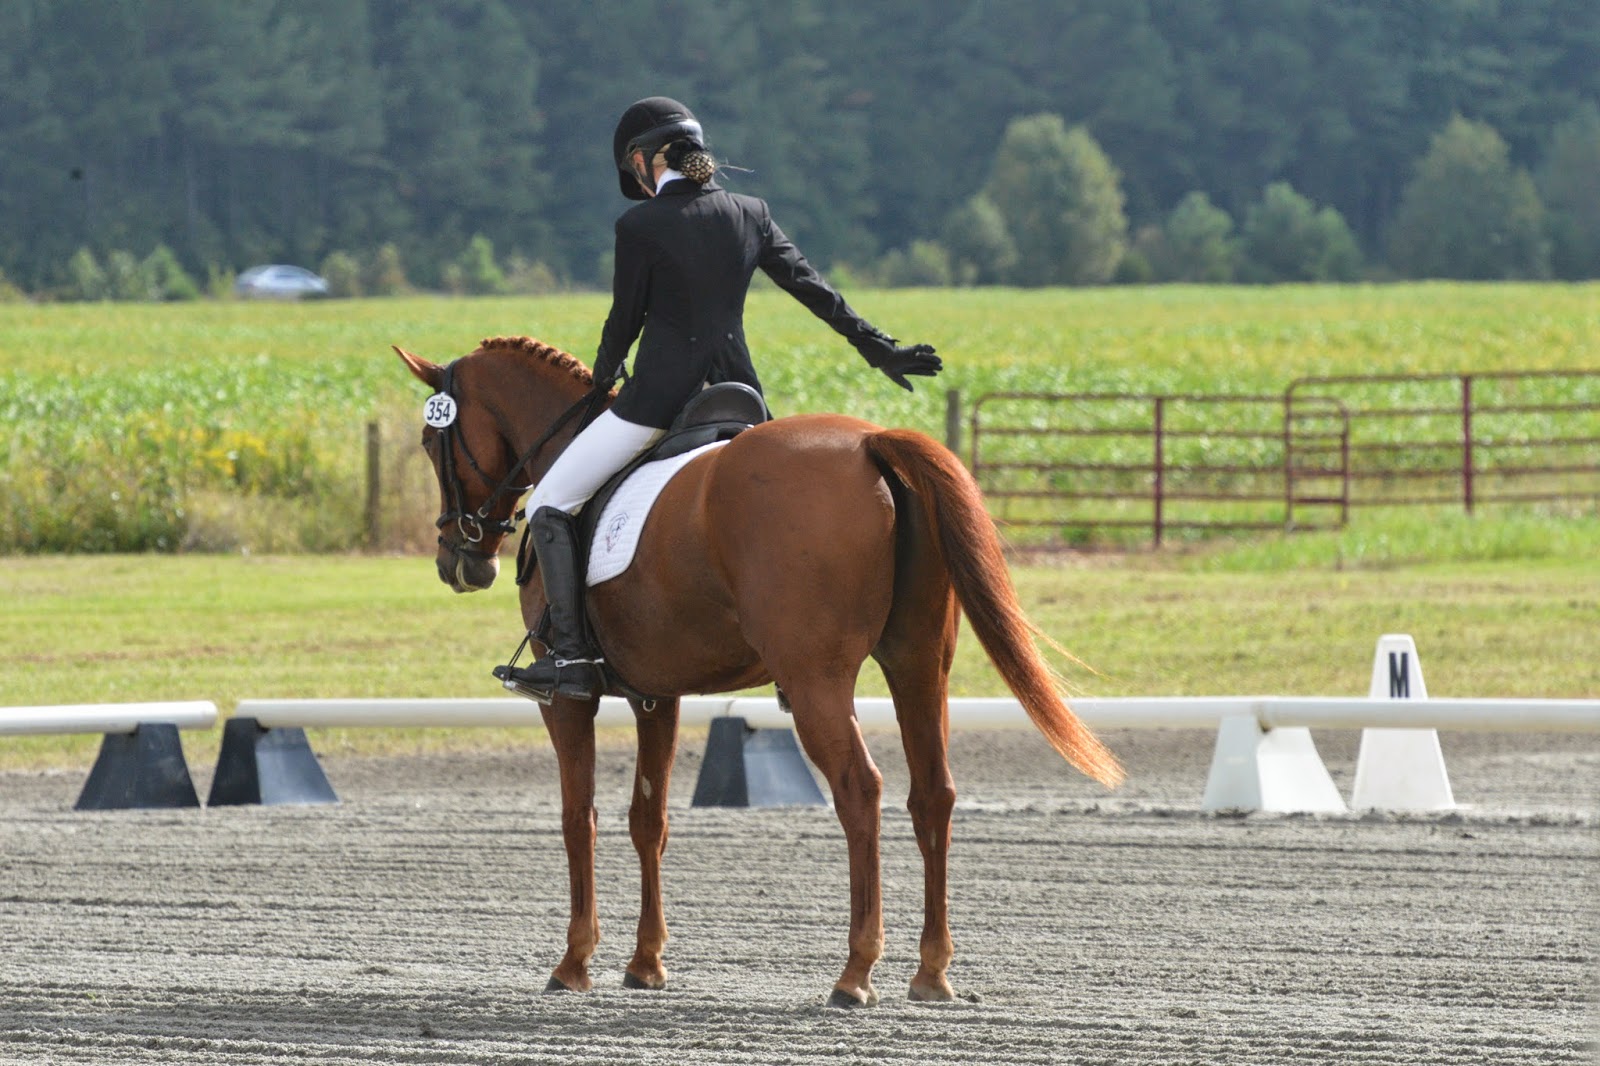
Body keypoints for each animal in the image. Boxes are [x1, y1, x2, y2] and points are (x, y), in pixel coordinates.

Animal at [396, 334, 1123, 1007]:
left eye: (433, 443)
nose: (458, 562)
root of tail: (869, 444)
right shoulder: (657, 695)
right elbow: (648, 818)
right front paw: (646, 964)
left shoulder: (567, 698)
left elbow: (581, 817)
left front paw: (574, 963)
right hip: (918, 665)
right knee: (933, 793)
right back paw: (931, 972)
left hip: (816, 681)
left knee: (860, 789)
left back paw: (855, 974)